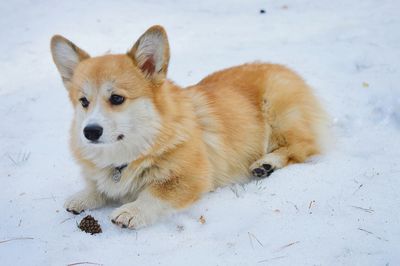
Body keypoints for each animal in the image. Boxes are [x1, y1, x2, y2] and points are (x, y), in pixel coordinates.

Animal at [50, 24, 328, 229]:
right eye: (83, 101)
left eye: (117, 98)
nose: (90, 132)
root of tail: (284, 67)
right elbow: (98, 186)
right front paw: (83, 196)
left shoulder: (192, 178)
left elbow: (154, 193)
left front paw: (131, 210)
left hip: (279, 114)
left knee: (303, 146)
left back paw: (266, 163)